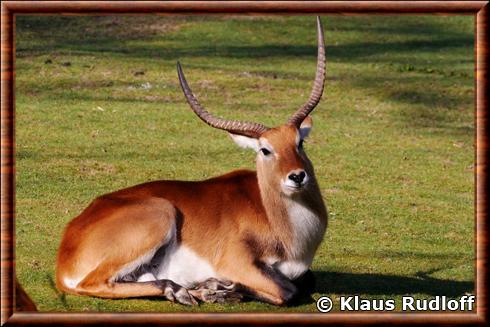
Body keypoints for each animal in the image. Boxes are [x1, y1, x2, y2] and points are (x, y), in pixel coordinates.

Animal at [56, 16, 330, 306]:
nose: (297, 176)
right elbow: (286, 291)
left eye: (299, 143)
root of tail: (68, 245)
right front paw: (221, 286)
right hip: (160, 214)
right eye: (265, 149)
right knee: (94, 283)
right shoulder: (237, 262)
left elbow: (304, 282)